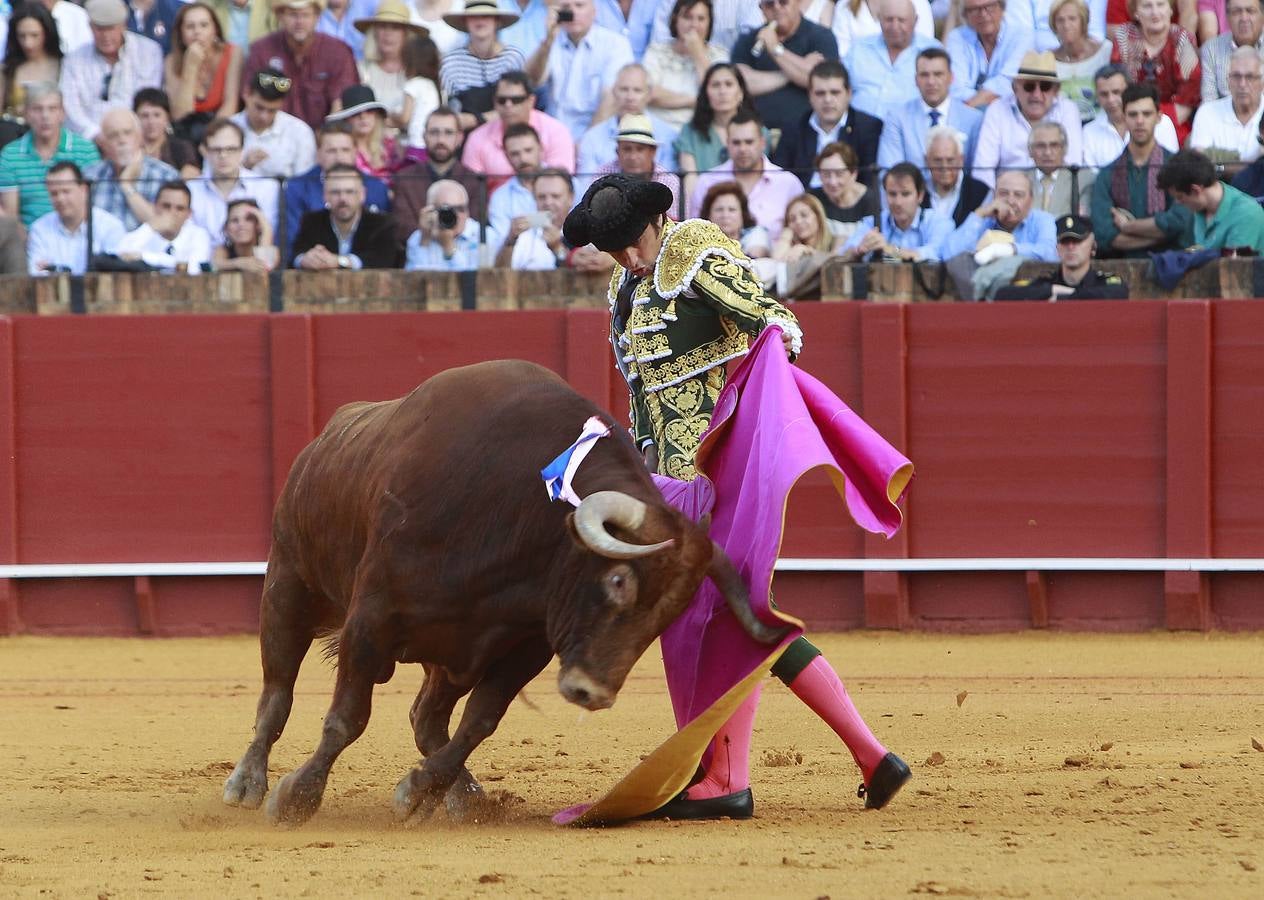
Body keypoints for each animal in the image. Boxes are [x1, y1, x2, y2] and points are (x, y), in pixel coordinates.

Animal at [224, 356, 778, 824]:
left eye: (669, 614)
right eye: (618, 580)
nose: (591, 693)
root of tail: (323, 440)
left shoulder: (524, 645)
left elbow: (479, 721)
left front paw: (421, 791)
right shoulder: (371, 620)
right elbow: (347, 717)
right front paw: (296, 798)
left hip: (445, 654)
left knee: (427, 717)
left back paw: (460, 795)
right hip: (288, 586)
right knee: (277, 693)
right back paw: (246, 784)